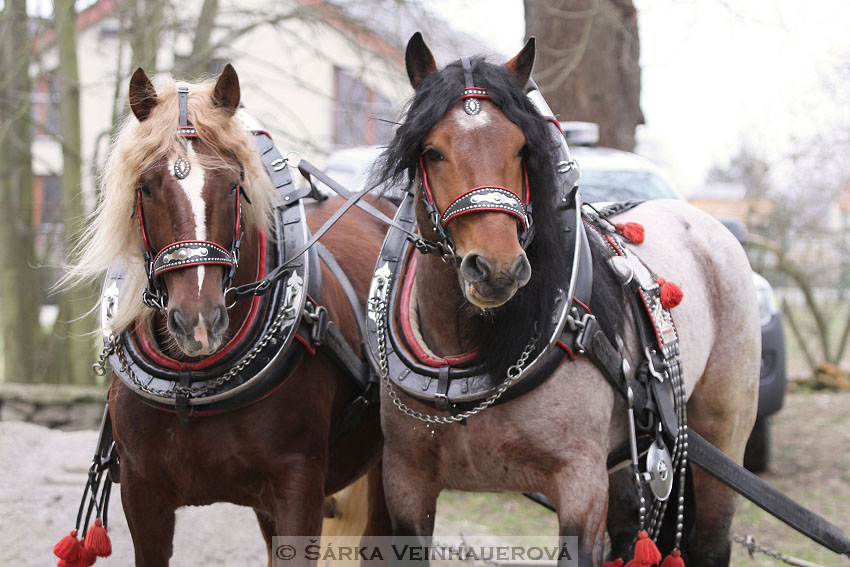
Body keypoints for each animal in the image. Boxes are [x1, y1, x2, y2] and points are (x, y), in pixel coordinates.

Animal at [62, 65, 390, 564]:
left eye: (234, 184)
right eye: (146, 186)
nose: (197, 323)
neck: (192, 383)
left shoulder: (299, 489)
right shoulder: (142, 494)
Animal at [368, 33, 760, 564]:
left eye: (521, 149)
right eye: (431, 152)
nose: (497, 268)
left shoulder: (580, 485)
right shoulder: (406, 482)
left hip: (724, 430)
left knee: (711, 537)